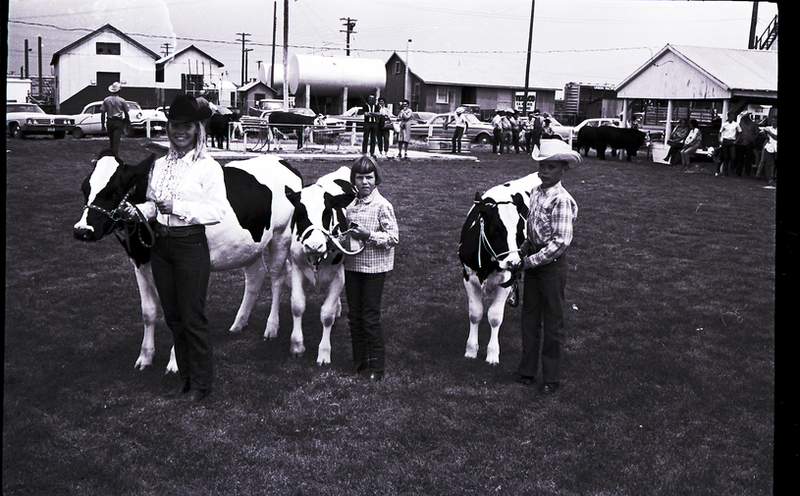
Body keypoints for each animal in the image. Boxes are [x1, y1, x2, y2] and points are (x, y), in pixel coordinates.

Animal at [73, 150, 303, 372]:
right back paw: (239, 323)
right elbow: (148, 312)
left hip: (281, 235)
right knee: (256, 276)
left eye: (115, 192)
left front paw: (175, 362)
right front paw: (145, 358)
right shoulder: (140, 264)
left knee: (276, 278)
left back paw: (271, 328)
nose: (82, 230)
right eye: (84, 189)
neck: (142, 245)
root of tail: (282, 161)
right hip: (250, 245)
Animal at [285, 166, 360, 364]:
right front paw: (297, 346)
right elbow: (297, 305)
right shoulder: (297, 267)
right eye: (299, 214)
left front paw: (324, 353)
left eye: (327, 213)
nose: (314, 245)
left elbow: (326, 314)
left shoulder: (339, 274)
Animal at [458, 173, 541, 365]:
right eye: (496, 231)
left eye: (520, 231)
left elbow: (495, 317)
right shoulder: (468, 276)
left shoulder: (506, 280)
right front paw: (471, 350)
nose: (515, 263)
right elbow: (475, 313)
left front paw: (492, 354)